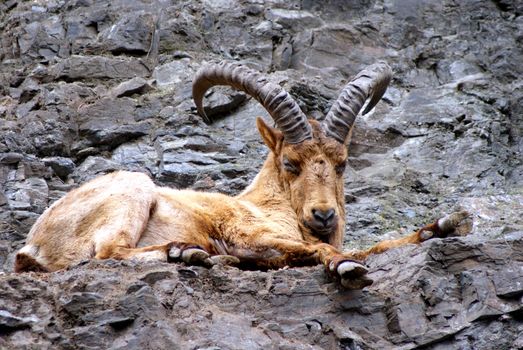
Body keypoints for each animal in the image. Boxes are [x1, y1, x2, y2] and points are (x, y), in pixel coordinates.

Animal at [13, 61, 470, 288]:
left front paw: (445, 225)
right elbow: (328, 252)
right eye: (290, 163)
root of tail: (31, 246)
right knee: (108, 253)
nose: (324, 215)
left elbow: (376, 246)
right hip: (134, 188)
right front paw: (344, 268)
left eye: (341, 163)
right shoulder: (249, 235)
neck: (274, 204)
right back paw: (185, 253)